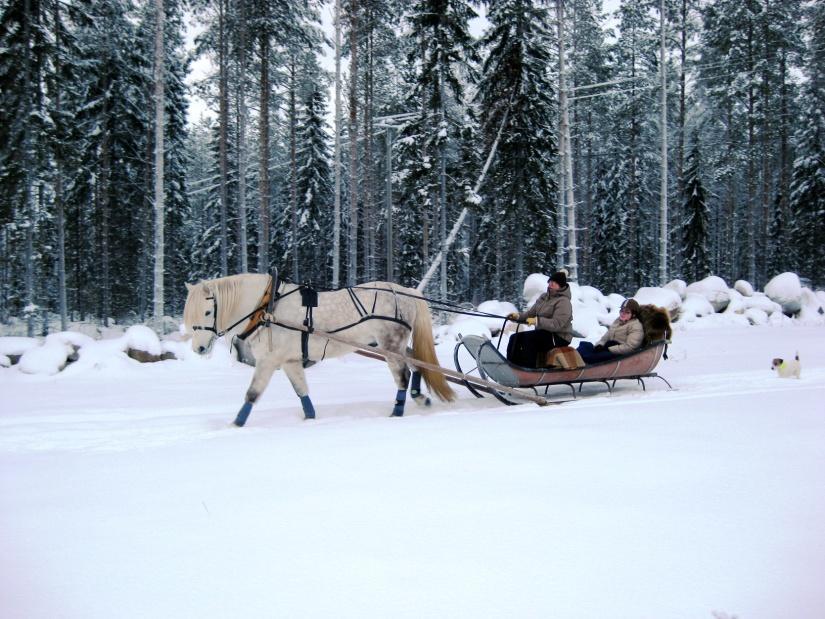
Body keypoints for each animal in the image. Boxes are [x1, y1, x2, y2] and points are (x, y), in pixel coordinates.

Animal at [182, 272, 458, 426]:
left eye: (206, 312)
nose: (199, 348)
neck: (266, 308)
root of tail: (407, 292)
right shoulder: (290, 361)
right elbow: (302, 392)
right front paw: (310, 419)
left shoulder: (268, 361)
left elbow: (252, 394)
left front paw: (236, 425)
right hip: (394, 346)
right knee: (416, 362)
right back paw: (420, 398)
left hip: (390, 345)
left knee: (403, 376)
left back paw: (397, 412)